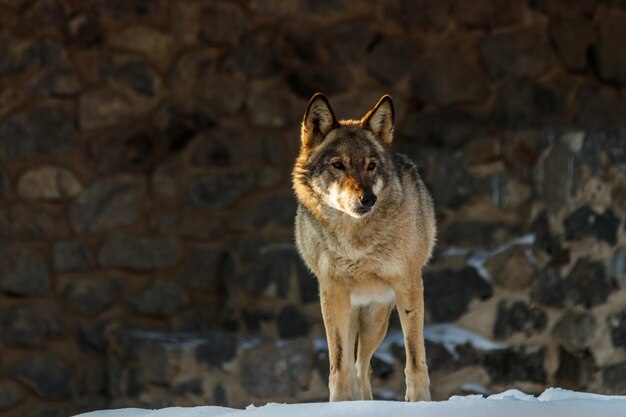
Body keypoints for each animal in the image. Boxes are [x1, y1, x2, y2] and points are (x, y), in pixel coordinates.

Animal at [292, 93, 434, 400]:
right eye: (338, 165)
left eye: (371, 166)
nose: (368, 198)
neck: (355, 239)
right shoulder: (331, 291)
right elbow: (337, 363)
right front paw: (340, 403)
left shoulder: (409, 285)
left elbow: (415, 357)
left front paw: (419, 402)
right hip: (350, 314)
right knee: (353, 364)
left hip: (376, 320)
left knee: (362, 366)